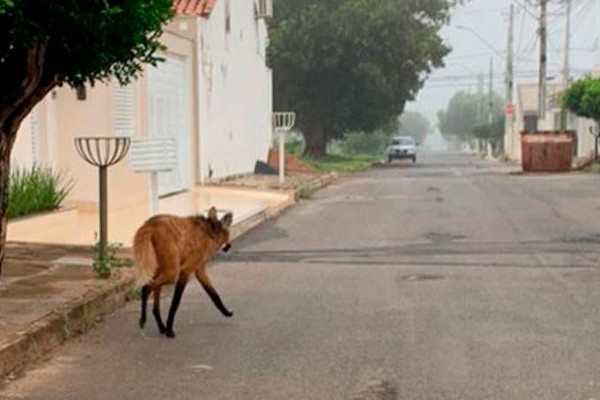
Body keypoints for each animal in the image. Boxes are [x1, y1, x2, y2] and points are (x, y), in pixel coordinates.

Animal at [134, 206, 234, 338]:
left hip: (163, 266)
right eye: (227, 236)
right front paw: (170, 328)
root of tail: (149, 223)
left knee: (155, 302)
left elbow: (214, 294)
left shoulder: (199, 269)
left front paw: (226, 312)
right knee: (146, 287)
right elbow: (175, 302)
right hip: (171, 271)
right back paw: (144, 320)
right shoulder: (186, 270)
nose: (229, 246)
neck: (208, 234)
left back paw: (161, 327)